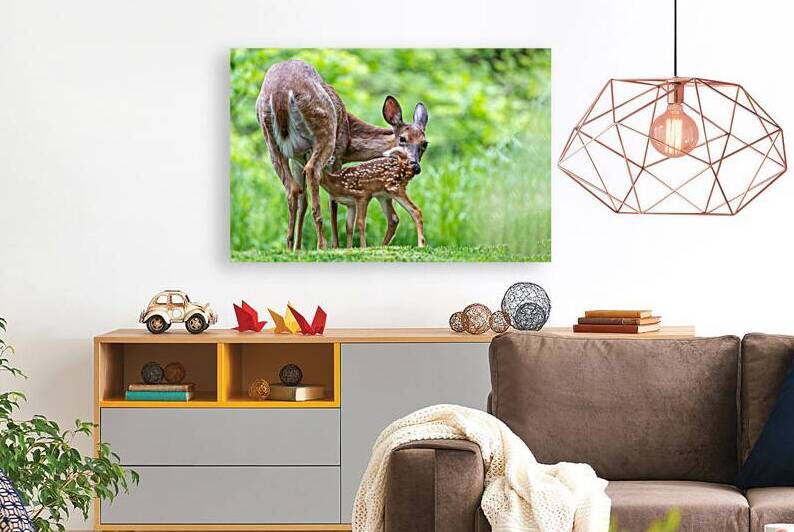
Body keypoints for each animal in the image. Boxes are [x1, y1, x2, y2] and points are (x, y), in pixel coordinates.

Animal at [255, 59, 428, 250]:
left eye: (424, 143)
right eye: (403, 139)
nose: (415, 166)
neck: (350, 140)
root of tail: (280, 94)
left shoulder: (297, 158)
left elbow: (303, 200)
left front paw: (297, 248)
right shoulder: (337, 155)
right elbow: (333, 202)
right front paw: (337, 245)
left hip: (271, 143)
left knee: (292, 188)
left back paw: (291, 245)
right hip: (326, 131)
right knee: (313, 172)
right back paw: (322, 244)